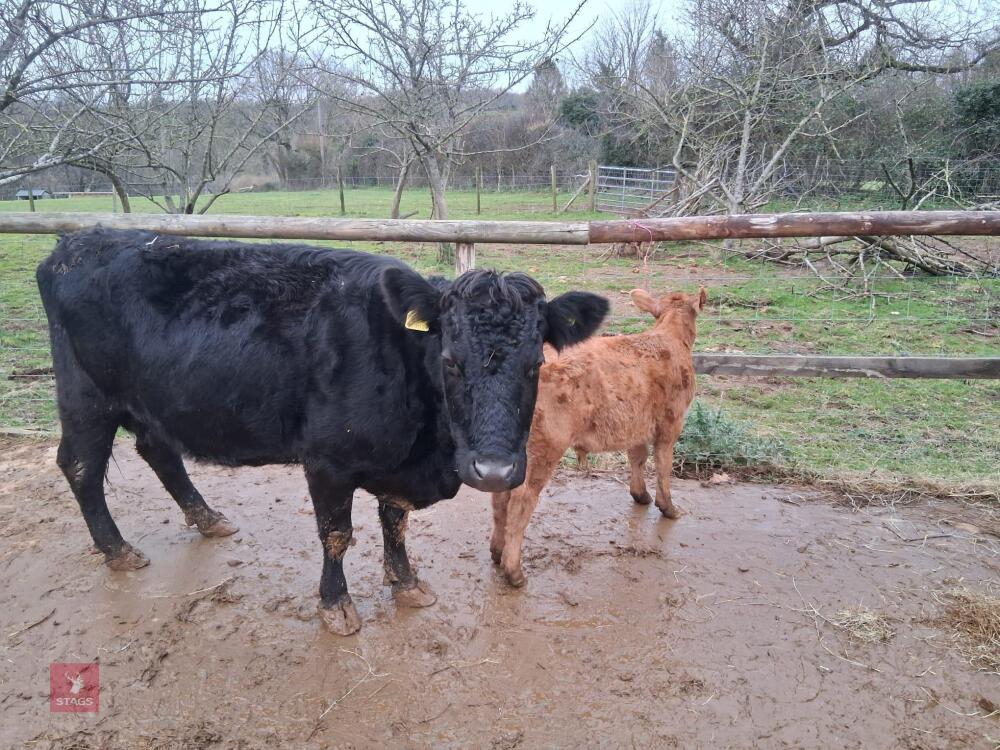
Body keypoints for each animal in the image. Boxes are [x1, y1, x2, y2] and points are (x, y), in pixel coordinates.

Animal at [36, 228, 609, 635]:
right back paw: (117, 549)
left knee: (157, 450)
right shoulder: (328, 461)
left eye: (536, 363)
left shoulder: (397, 466)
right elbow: (337, 534)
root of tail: (78, 241)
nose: (492, 470)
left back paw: (207, 518)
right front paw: (337, 606)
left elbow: (395, 522)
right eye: (449, 359)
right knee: (80, 465)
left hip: (155, 402)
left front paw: (406, 583)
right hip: (86, 398)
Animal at [490, 287, 706, 587]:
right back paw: (514, 572)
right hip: (544, 447)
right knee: (521, 500)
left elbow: (638, 458)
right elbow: (663, 466)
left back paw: (496, 553)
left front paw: (641, 495)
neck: (669, 336)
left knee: (500, 498)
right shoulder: (671, 422)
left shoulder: (636, 424)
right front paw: (669, 508)